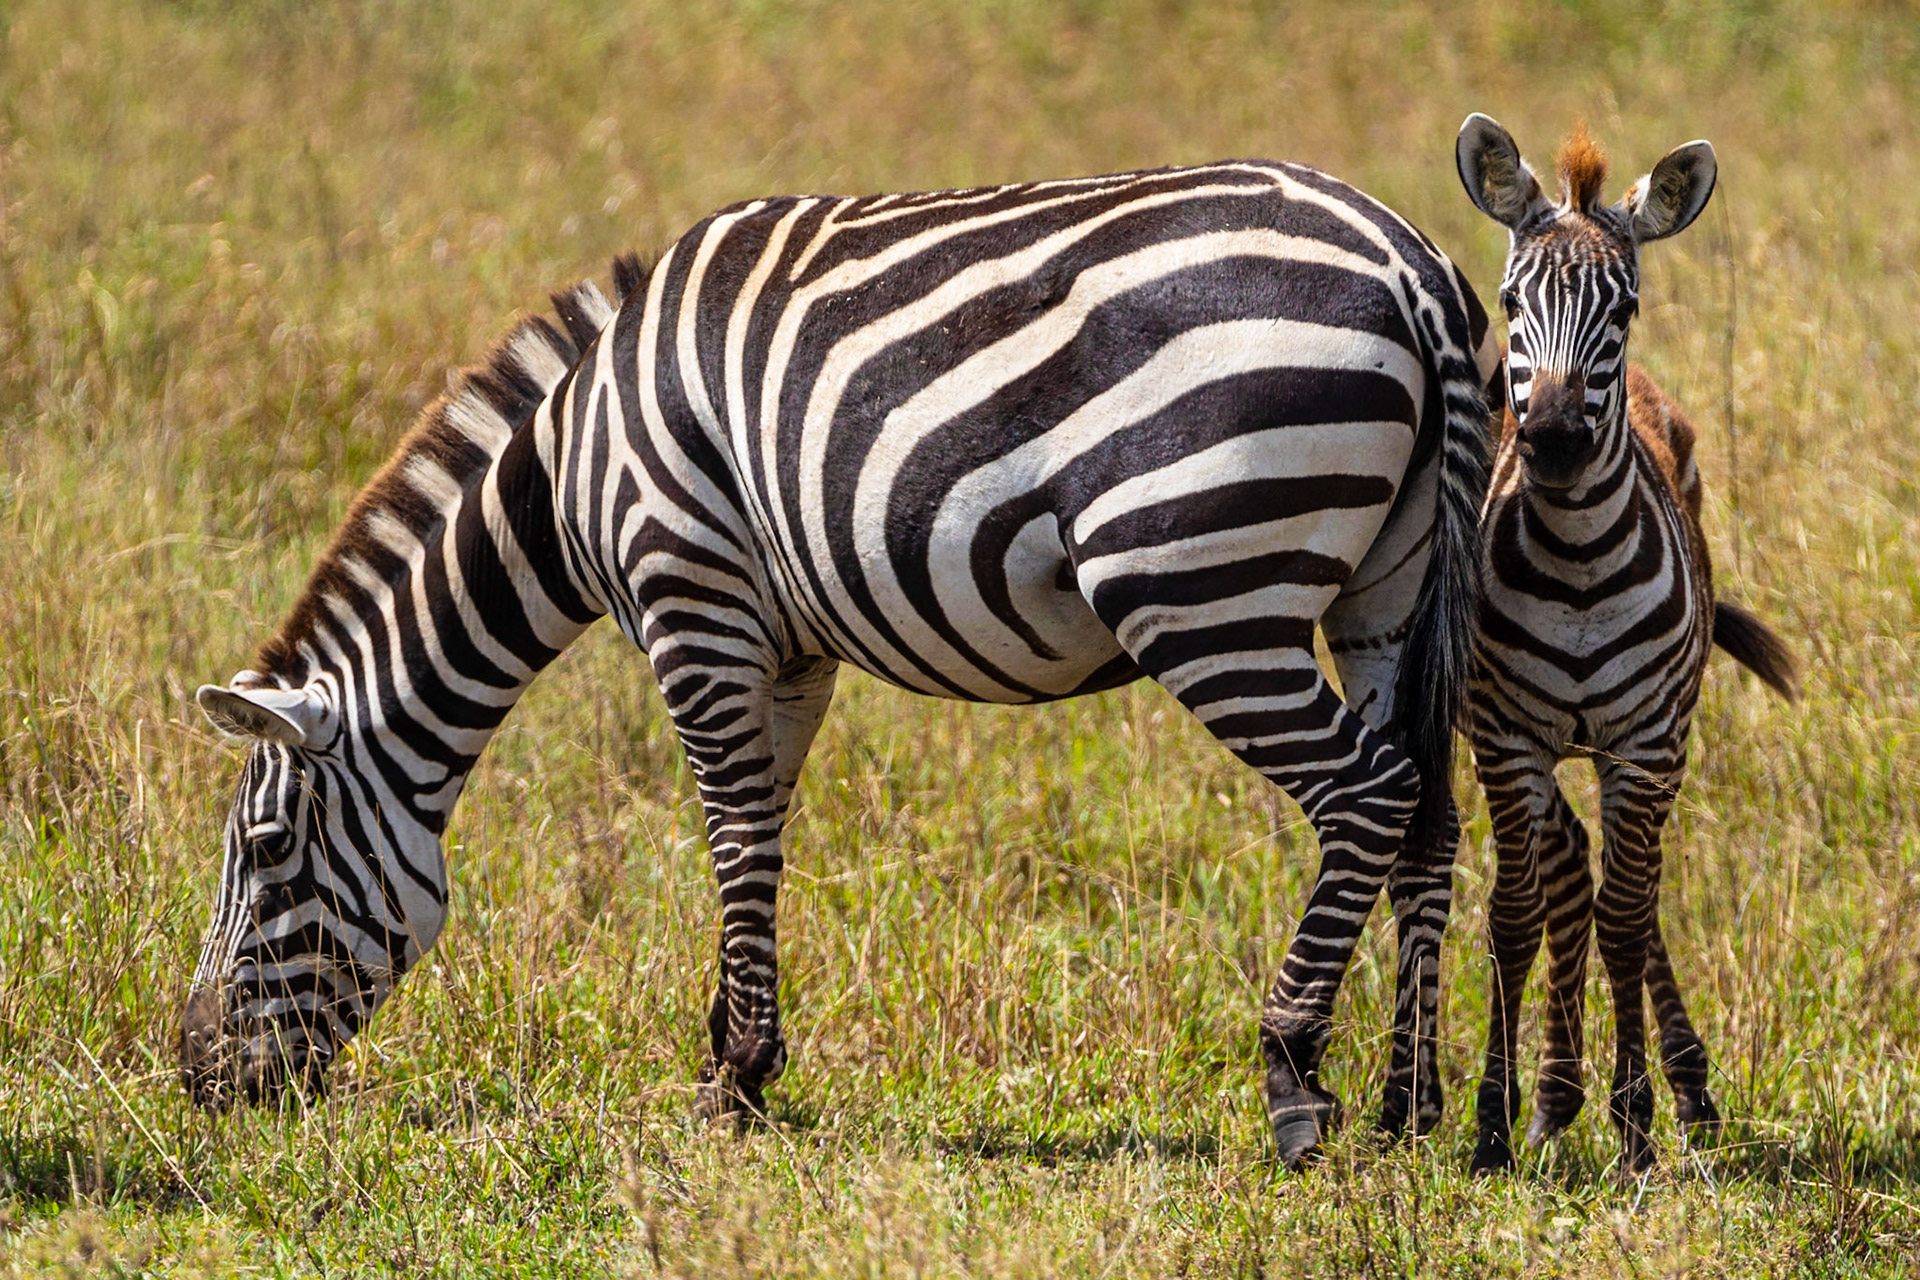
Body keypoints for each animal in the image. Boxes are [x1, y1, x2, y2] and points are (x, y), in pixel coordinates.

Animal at [181, 160, 1501, 1167]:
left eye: (266, 849)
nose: (195, 1072)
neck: (565, 475)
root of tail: (1411, 264)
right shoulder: (790, 647)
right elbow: (759, 829)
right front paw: (730, 1047)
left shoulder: (691, 592)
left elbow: (728, 828)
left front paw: (734, 1077)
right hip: (1390, 594)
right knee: (1427, 817)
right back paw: (1409, 1105)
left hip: (1204, 584)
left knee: (1367, 793)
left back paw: (1292, 1073)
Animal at [1452, 116, 1799, 1175]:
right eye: (1511, 300)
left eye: (1629, 307)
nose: (1557, 441)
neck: (1573, 562)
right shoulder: (1507, 742)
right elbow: (1515, 918)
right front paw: (1492, 1128)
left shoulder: (1645, 747)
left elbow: (1627, 920)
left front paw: (1637, 1126)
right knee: (1570, 873)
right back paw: (1552, 1098)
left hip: (1653, 745)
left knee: (1624, 901)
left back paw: (1673, 1092)